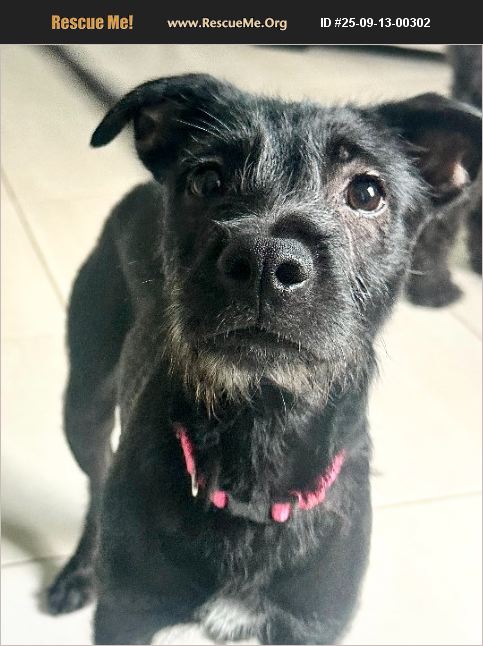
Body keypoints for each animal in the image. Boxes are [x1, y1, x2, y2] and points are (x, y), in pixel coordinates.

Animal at [46, 75, 481, 644]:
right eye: (206, 180)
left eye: (367, 192)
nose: (265, 262)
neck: (261, 429)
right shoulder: (126, 617)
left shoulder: (314, 625)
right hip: (84, 402)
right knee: (96, 480)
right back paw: (79, 571)